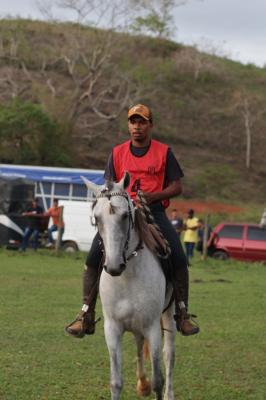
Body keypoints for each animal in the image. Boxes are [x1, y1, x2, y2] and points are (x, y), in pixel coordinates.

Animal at [82, 173, 176, 400]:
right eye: (97, 218)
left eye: (125, 215)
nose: (114, 266)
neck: (127, 276)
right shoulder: (112, 328)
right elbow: (116, 382)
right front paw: (141, 384)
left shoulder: (152, 326)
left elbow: (158, 379)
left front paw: (154, 386)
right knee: (139, 343)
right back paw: (142, 384)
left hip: (169, 314)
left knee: (169, 355)